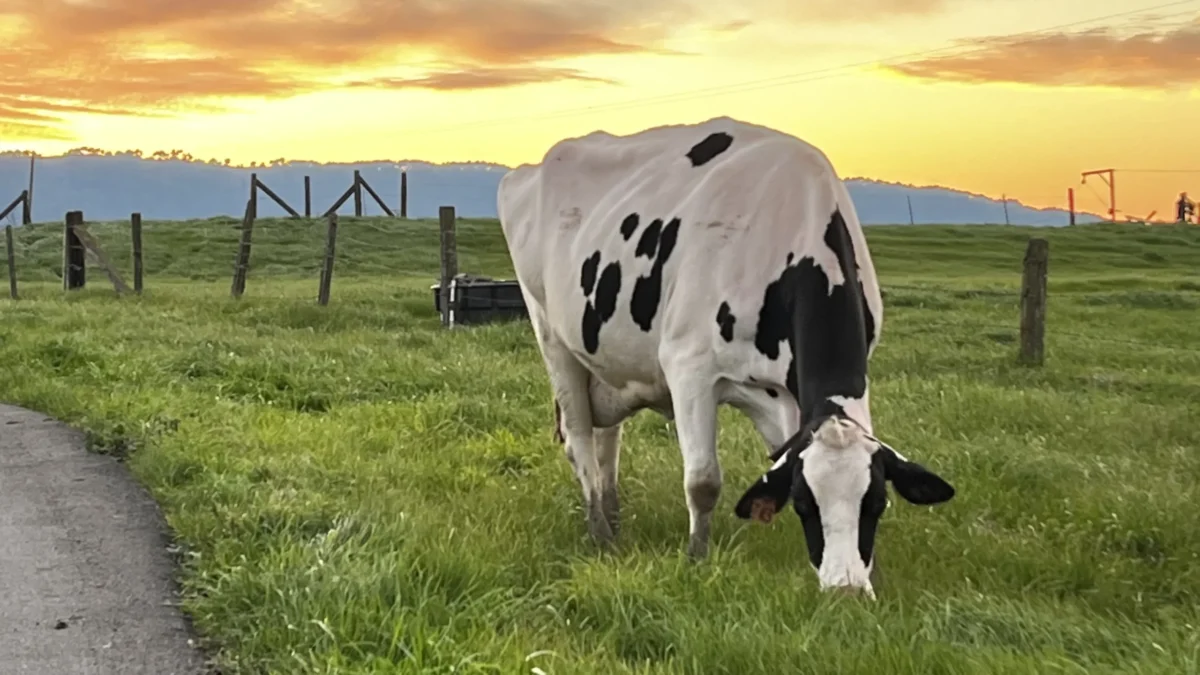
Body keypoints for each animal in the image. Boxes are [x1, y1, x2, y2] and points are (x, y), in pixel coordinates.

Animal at [497, 116, 955, 597]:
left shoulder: (787, 395)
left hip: (605, 360)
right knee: (581, 441)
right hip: (552, 338)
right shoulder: (689, 368)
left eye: (877, 502)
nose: (845, 591)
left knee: (608, 440)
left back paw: (614, 515)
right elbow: (703, 480)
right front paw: (697, 558)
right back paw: (600, 532)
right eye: (806, 504)